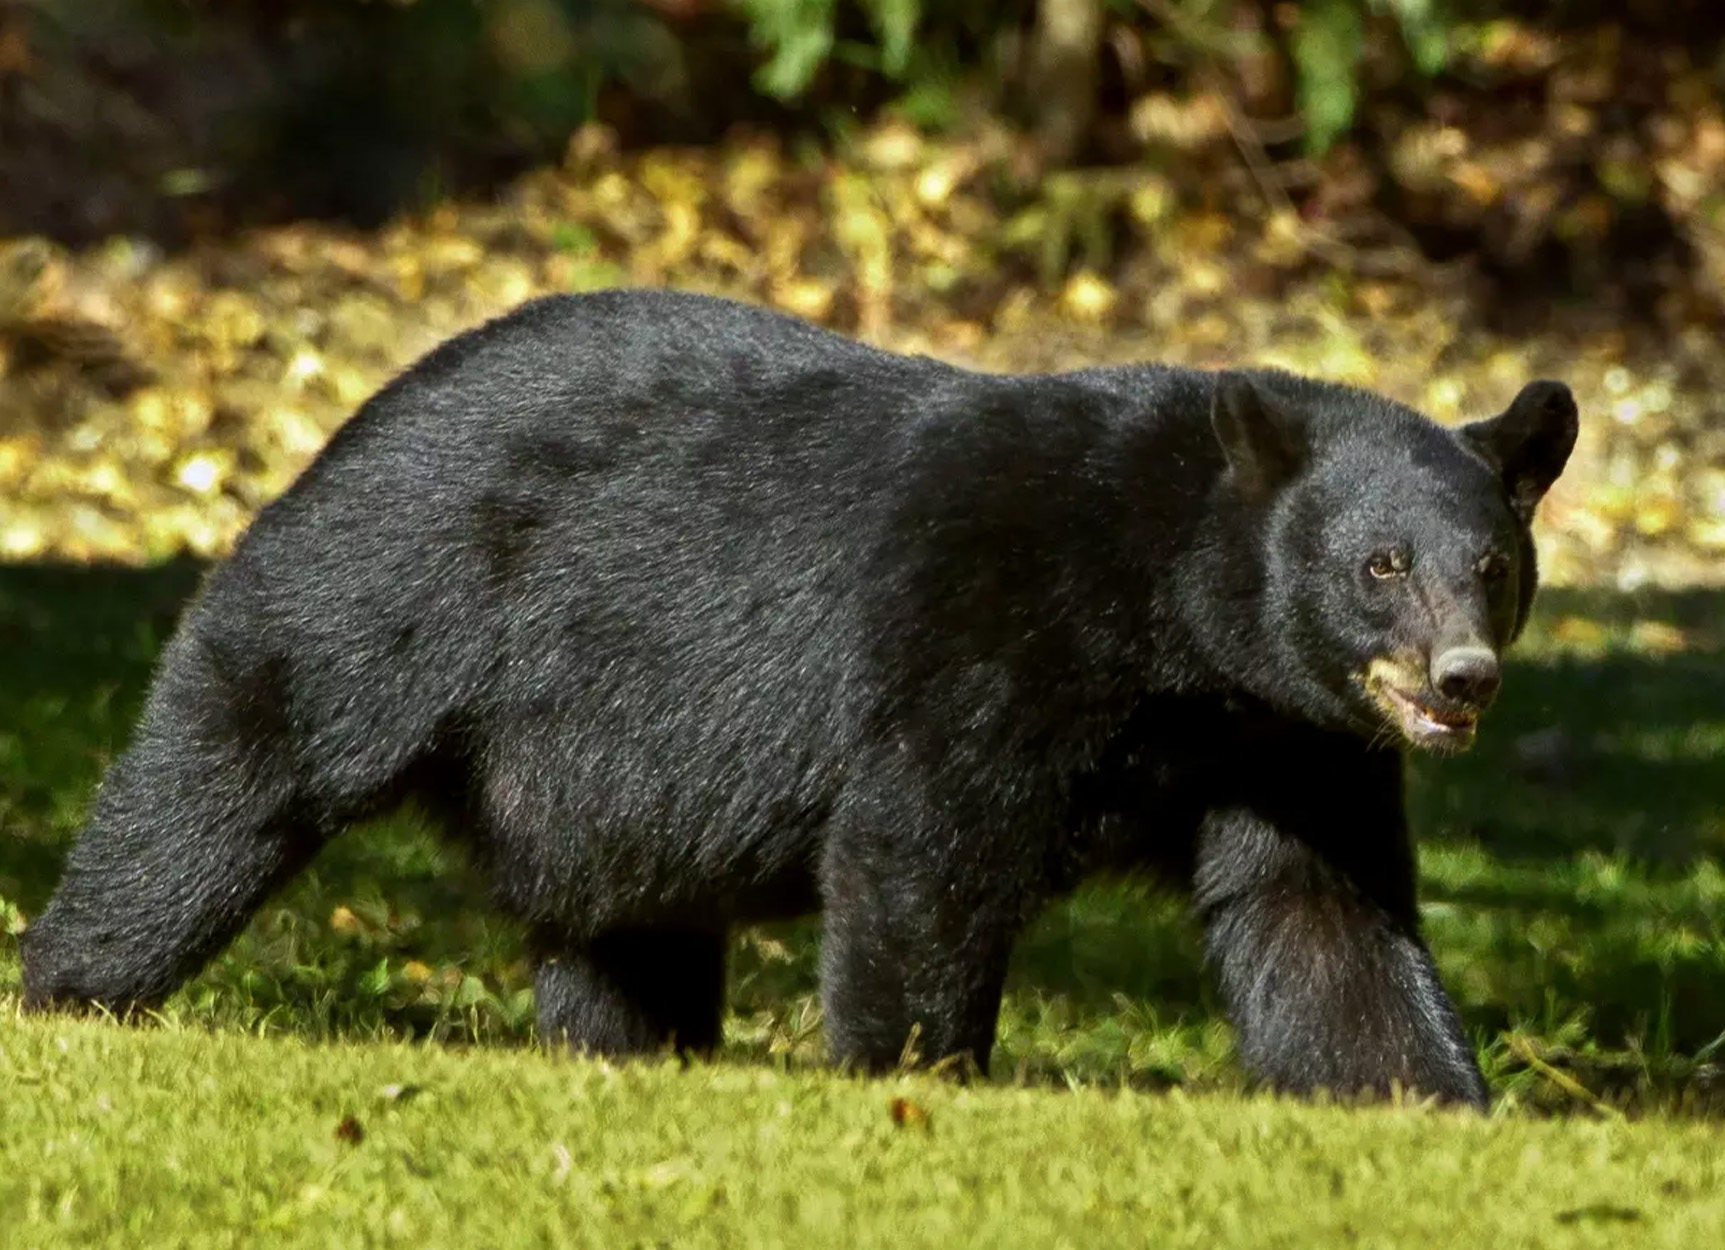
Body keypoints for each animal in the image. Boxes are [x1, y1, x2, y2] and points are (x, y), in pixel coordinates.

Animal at [20, 289, 1580, 1103]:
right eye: (1379, 564)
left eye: (1492, 564)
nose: (1461, 677)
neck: (1172, 620)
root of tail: (356, 409)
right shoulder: (988, 624)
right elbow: (923, 845)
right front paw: (917, 1076)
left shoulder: (1284, 734)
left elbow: (1320, 913)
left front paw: (1429, 1098)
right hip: (388, 586)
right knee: (232, 764)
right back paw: (73, 985)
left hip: (594, 774)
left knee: (621, 927)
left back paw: (632, 1051)